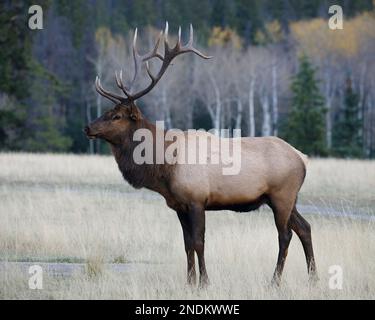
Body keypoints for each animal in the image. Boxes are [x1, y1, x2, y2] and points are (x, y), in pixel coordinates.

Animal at [84, 23, 318, 288]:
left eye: (116, 116)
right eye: (107, 110)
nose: (88, 128)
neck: (164, 168)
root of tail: (302, 158)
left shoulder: (197, 200)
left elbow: (198, 242)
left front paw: (204, 282)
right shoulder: (178, 205)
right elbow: (186, 245)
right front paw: (189, 282)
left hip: (282, 195)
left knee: (285, 234)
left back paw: (275, 281)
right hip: (286, 198)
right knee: (305, 228)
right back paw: (313, 278)